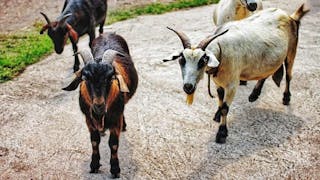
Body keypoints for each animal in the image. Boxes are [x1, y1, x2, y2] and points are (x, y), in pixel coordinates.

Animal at [62, 33, 138, 178]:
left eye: (111, 77)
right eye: (85, 78)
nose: (99, 106)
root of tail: (109, 33)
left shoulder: (115, 118)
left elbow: (113, 144)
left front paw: (115, 169)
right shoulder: (88, 119)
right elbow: (94, 141)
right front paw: (94, 165)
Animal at [164, 4, 308, 144]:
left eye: (202, 61)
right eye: (181, 60)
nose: (188, 87)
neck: (221, 50)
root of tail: (289, 16)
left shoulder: (232, 84)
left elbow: (225, 108)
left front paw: (222, 133)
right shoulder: (218, 83)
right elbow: (220, 101)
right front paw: (217, 115)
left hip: (291, 50)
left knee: (289, 75)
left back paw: (286, 98)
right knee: (266, 72)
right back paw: (254, 94)